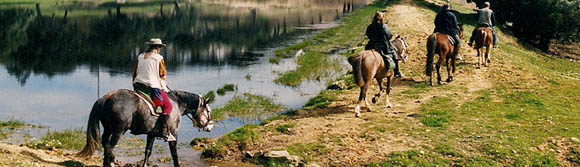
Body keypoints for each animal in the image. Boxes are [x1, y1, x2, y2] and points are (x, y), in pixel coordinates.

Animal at [76, 90, 213, 167]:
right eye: (208, 110)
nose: (210, 126)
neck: (177, 103)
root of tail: (106, 97)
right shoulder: (174, 134)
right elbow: (174, 154)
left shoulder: (151, 134)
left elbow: (148, 151)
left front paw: (145, 165)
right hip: (118, 131)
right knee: (109, 146)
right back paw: (111, 162)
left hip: (108, 129)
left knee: (105, 144)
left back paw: (111, 161)